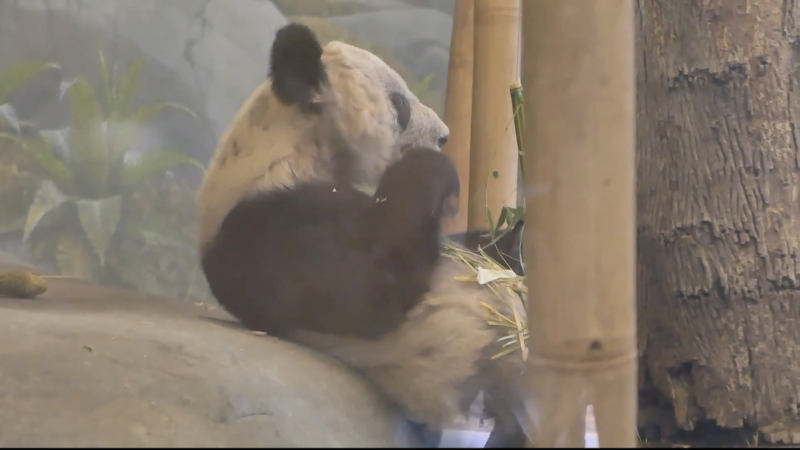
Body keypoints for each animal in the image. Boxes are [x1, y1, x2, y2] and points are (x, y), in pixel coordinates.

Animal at [197, 23, 528, 448]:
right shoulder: (271, 226)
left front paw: (510, 235)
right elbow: (373, 280)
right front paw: (437, 170)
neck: (294, 146)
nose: (444, 136)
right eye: (400, 104)